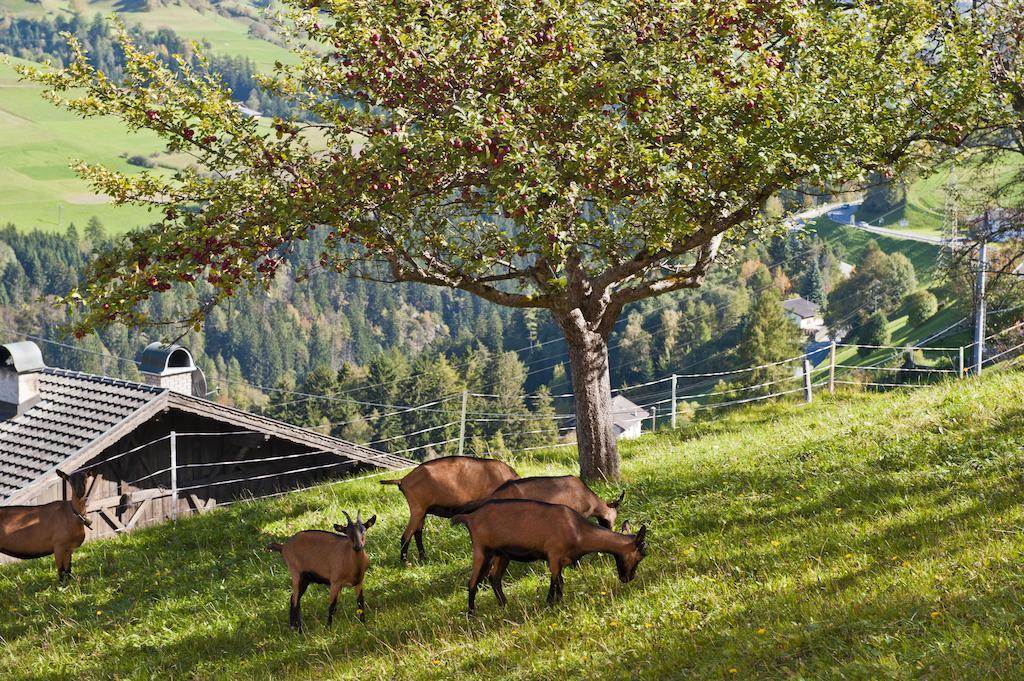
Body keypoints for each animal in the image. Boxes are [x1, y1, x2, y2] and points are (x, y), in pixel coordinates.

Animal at [378, 454, 516, 561]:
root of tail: (402, 480)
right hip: (418, 509)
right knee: (406, 535)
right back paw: (405, 562)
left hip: (422, 511)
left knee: (417, 532)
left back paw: (423, 558)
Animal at [450, 497, 647, 614]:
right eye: (641, 555)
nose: (627, 578)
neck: (577, 530)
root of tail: (470, 518)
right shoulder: (553, 555)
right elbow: (555, 581)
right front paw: (550, 603)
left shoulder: (561, 560)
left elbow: (559, 581)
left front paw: (557, 601)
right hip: (482, 550)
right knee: (472, 582)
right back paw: (471, 614)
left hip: (502, 554)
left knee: (494, 577)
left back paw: (504, 605)